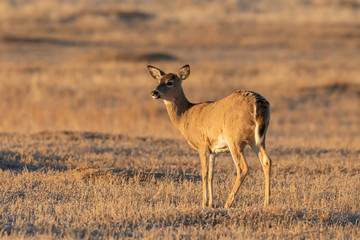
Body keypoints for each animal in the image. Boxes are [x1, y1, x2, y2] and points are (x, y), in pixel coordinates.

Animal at [148, 63, 272, 208]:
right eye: (158, 81)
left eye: (169, 82)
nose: (154, 92)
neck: (186, 116)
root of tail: (258, 102)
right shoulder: (213, 150)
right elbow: (211, 175)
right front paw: (211, 203)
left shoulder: (202, 145)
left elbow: (204, 173)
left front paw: (203, 203)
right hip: (258, 139)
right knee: (266, 161)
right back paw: (266, 202)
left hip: (234, 139)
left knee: (243, 167)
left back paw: (228, 203)